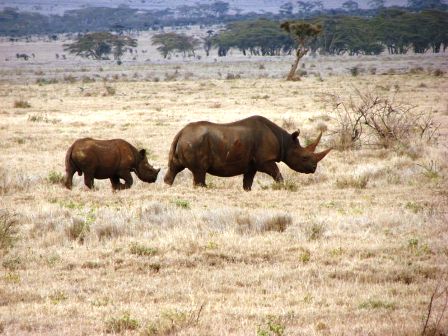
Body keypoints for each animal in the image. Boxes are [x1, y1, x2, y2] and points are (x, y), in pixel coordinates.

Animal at [164, 115, 328, 190]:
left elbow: (247, 181)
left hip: (187, 141)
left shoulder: (252, 164)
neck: (286, 142)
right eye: (304, 157)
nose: (314, 169)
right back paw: (202, 188)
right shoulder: (265, 160)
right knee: (199, 172)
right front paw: (282, 186)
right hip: (195, 141)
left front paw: (247, 190)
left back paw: (168, 185)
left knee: (174, 168)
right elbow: (277, 173)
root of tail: (181, 132)